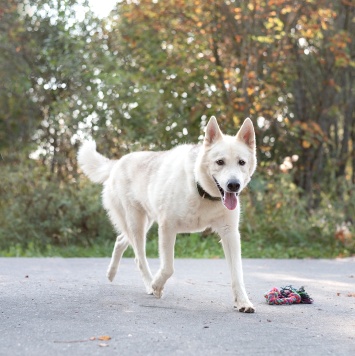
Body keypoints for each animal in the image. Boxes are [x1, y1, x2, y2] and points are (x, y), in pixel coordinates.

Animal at [78, 117, 256, 312]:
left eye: (241, 162)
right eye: (220, 162)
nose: (234, 185)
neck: (199, 189)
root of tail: (118, 162)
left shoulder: (230, 234)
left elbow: (237, 273)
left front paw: (243, 302)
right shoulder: (167, 227)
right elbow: (168, 267)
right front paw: (157, 286)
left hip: (145, 223)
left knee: (120, 240)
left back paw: (111, 273)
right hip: (137, 224)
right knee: (139, 258)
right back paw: (149, 285)